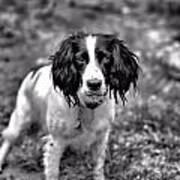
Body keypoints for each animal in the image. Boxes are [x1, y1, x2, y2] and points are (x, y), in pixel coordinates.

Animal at [0, 32, 140, 180]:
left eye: (106, 57)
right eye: (80, 59)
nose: (94, 84)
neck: (86, 106)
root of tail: (34, 71)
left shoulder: (101, 138)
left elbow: (98, 168)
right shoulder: (55, 142)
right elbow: (53, 172)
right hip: (21, 119)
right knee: (8, 140)